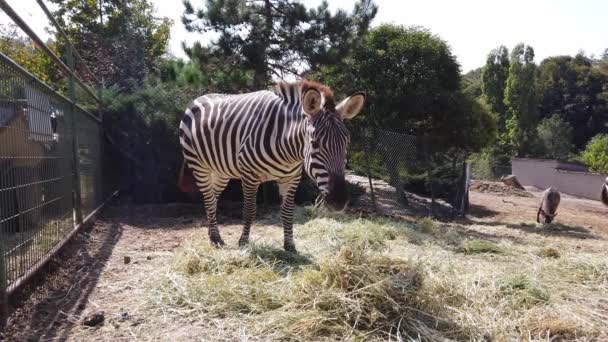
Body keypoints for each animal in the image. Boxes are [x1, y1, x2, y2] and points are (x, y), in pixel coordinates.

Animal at [178, 80, 364, 251]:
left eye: (347, 143)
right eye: (315, 143)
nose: (339, 200)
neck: (289, 150)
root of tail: (199, 98)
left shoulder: (291, 178)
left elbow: (288, 213)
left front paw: (290, 247)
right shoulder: (249, 175)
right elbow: (249, 211)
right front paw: (243, 243)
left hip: (220, 171)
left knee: (212, 198)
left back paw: (212, 235)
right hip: (199, 165)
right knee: (208, 197)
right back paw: (216, 239)